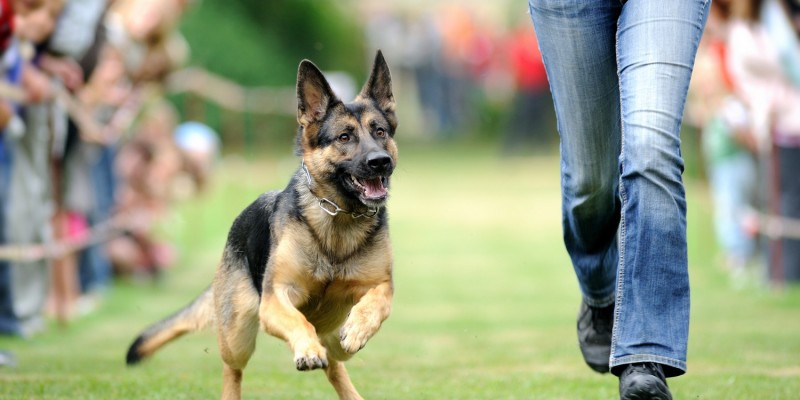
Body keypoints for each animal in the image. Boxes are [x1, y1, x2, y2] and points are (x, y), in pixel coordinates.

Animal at [125, 50, 396, 400]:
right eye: (344, 137)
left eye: (380, 132)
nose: (380, 162)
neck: (339, 217)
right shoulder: (275, 297)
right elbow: (298, 321)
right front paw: (307, 349)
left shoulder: (379, 285)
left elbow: (378, 302)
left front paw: (359, 327)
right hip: (237, 334)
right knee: (233, 369)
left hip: (328, 339)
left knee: (336, 363)